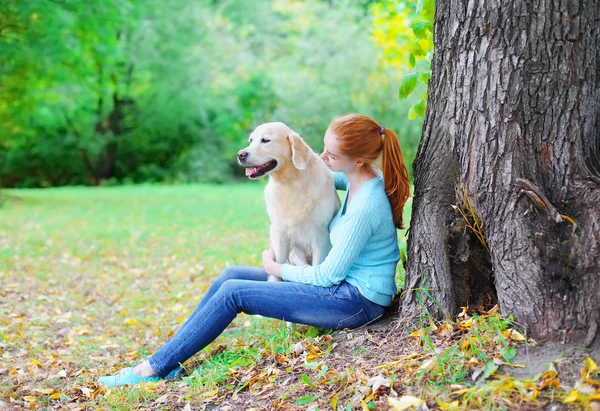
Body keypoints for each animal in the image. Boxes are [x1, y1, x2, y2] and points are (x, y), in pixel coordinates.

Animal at [239, 122, 342, 282]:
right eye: (251, 140)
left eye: (265, 140)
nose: (240, 154)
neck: (290, 183)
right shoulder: (279, 234)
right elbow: (277, 266)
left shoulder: (320, 235)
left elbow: (316, 267)